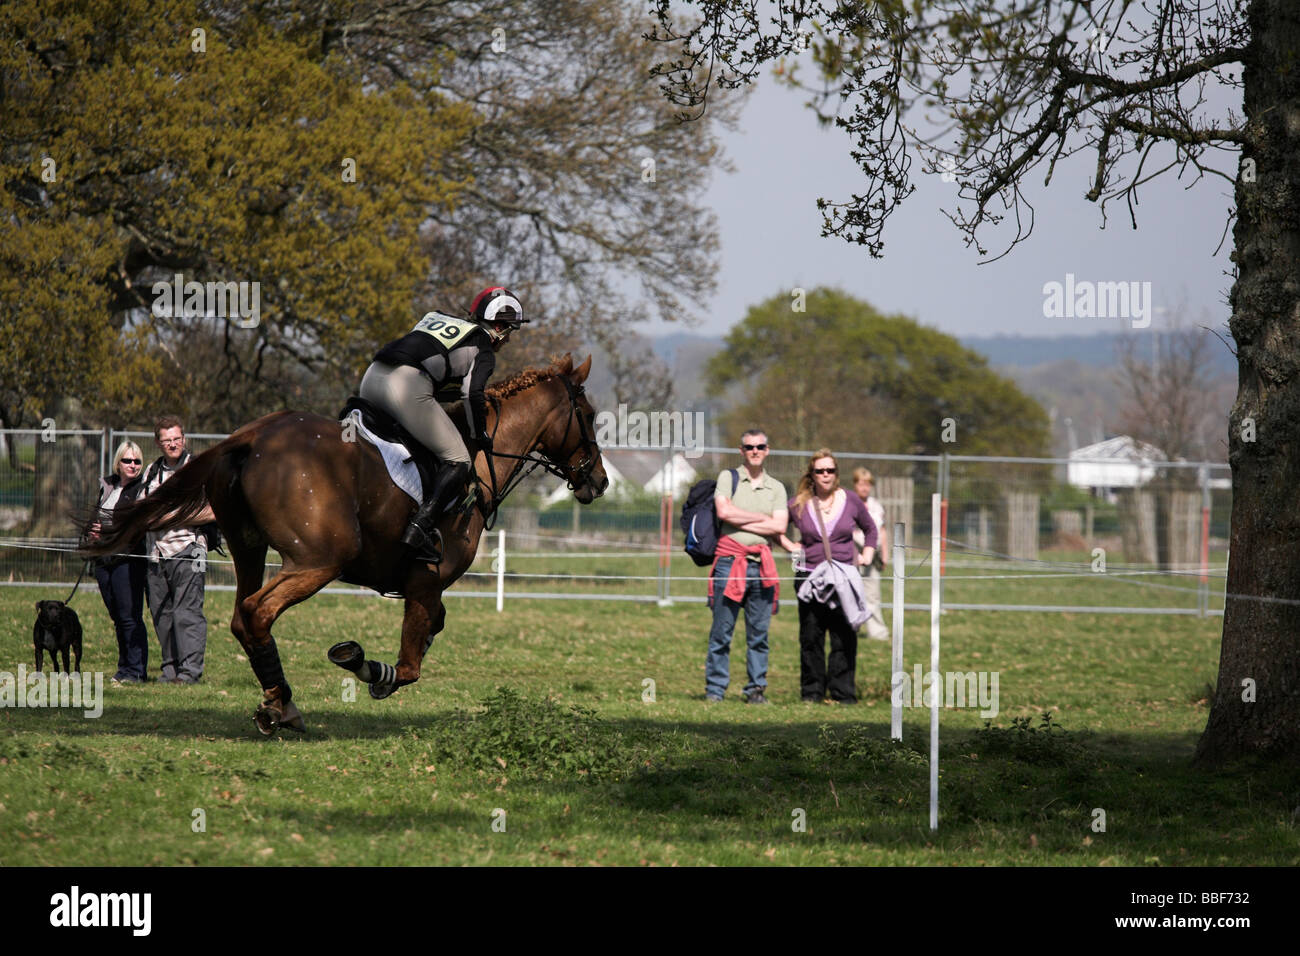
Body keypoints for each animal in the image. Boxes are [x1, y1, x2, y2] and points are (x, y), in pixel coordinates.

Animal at [83, 354, 608, 735]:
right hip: (320, 560)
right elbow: (411, 664)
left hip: (250, 548)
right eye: (588, 416)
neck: (478, 460)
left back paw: (278, 703)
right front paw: (366, 668)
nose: (599, 481)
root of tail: (250, 436)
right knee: (257, 612)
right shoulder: (426, 581)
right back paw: (283, 706)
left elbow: (432, 627)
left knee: (241, 617)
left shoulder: (421, 587)